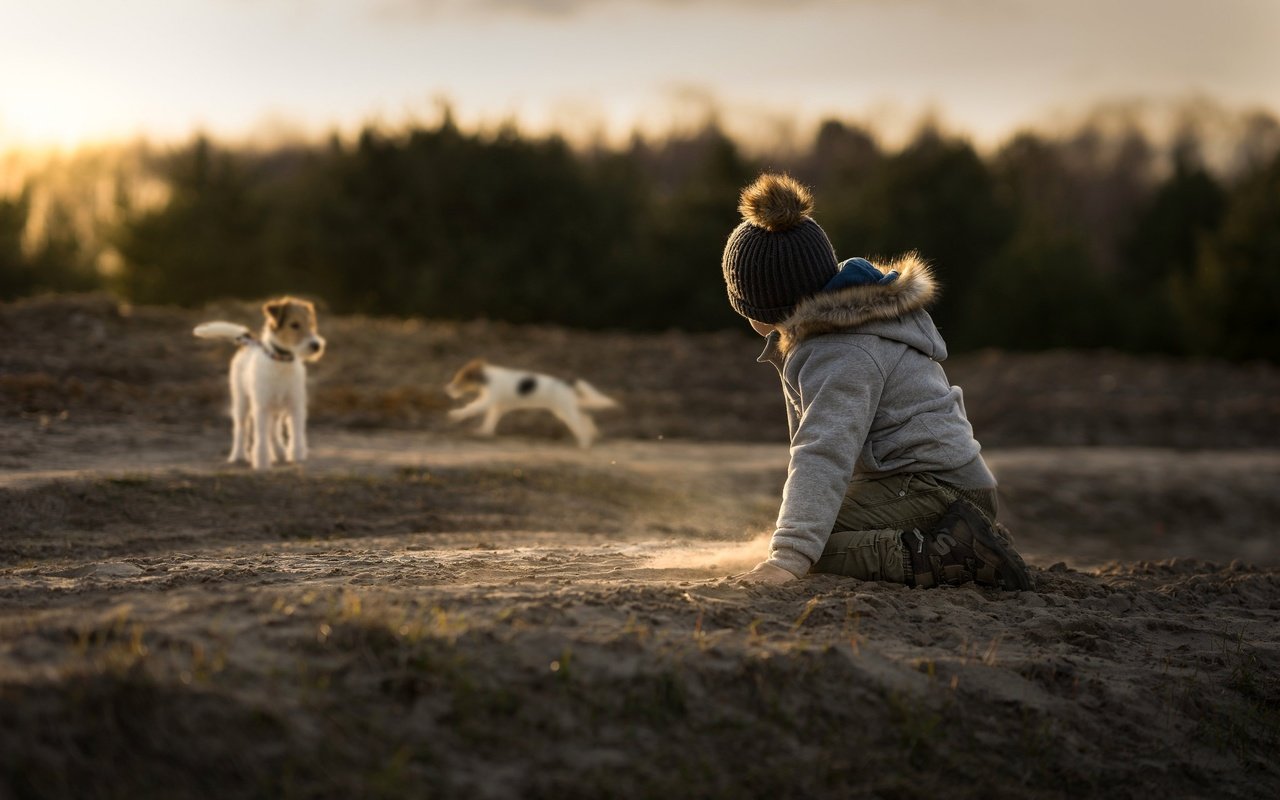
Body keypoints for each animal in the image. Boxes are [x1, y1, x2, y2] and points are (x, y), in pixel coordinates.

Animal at [194, 294, 327, 468]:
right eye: (294, 325)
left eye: (311, 324)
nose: (316, 346)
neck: (281, 362)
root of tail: (247, 342)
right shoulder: (261, 407)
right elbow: (261, 438)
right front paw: (262, 462)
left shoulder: (296, 406)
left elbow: (296, 434)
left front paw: (297, 456)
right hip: (242, 403)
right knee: (241, 430)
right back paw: (237, 455)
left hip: (276, 410)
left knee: (273, 431)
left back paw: (279, 452)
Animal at [442, 358, 616, 445]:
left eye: (459, 380)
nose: (447, 389)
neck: (487, 378)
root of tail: (568, 383)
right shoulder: (496, 408)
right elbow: (490, 421)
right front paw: (484, 432)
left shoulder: (487, 401)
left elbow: (470, 408)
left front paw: (455, 415)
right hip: (563, 410)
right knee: (586, 417)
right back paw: (593, 435)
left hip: (566, 411)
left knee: (580, 424)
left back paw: (584, 443)